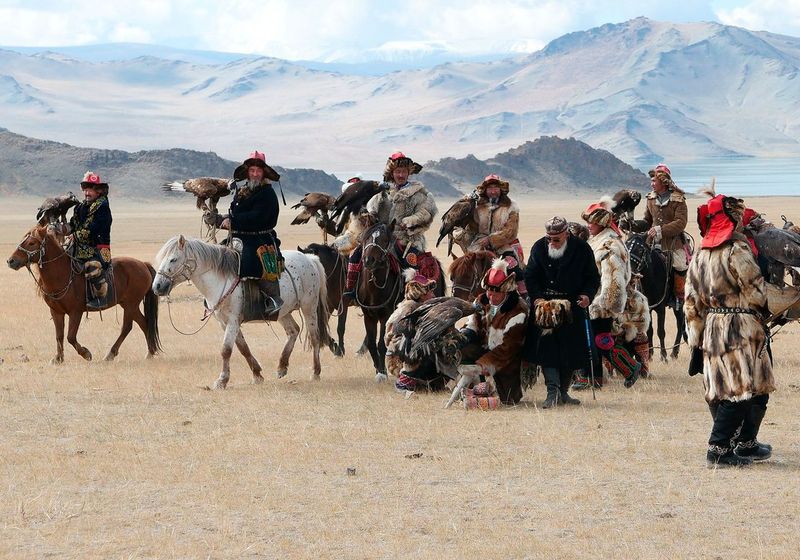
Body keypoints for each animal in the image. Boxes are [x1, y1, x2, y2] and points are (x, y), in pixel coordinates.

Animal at [6, 223, 161, 364]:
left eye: (31, 243)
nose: (11, 261)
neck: (62, 274)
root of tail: (143, 264)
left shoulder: (76, 312)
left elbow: (70, 336)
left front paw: (86, 353)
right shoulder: (56, 311)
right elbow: (59, 336)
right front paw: (58, 358)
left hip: (130, 304)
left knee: (127, 327)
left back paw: (111, 354)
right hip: (129, 305)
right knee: (144, 323)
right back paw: (150, 352)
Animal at [152, 236, 330, 390]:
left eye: (173, 259)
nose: (157, 286)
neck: (219, 281)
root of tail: (309, 259)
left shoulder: (232, 321)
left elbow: (226, 350)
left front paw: (222, 381)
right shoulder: (226, 323)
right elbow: (243, 348)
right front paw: (257, 374)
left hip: (309, 307)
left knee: (314, 337)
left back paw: (315, 372)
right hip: (283, 312)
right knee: (293, 330)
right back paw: (282, 366)